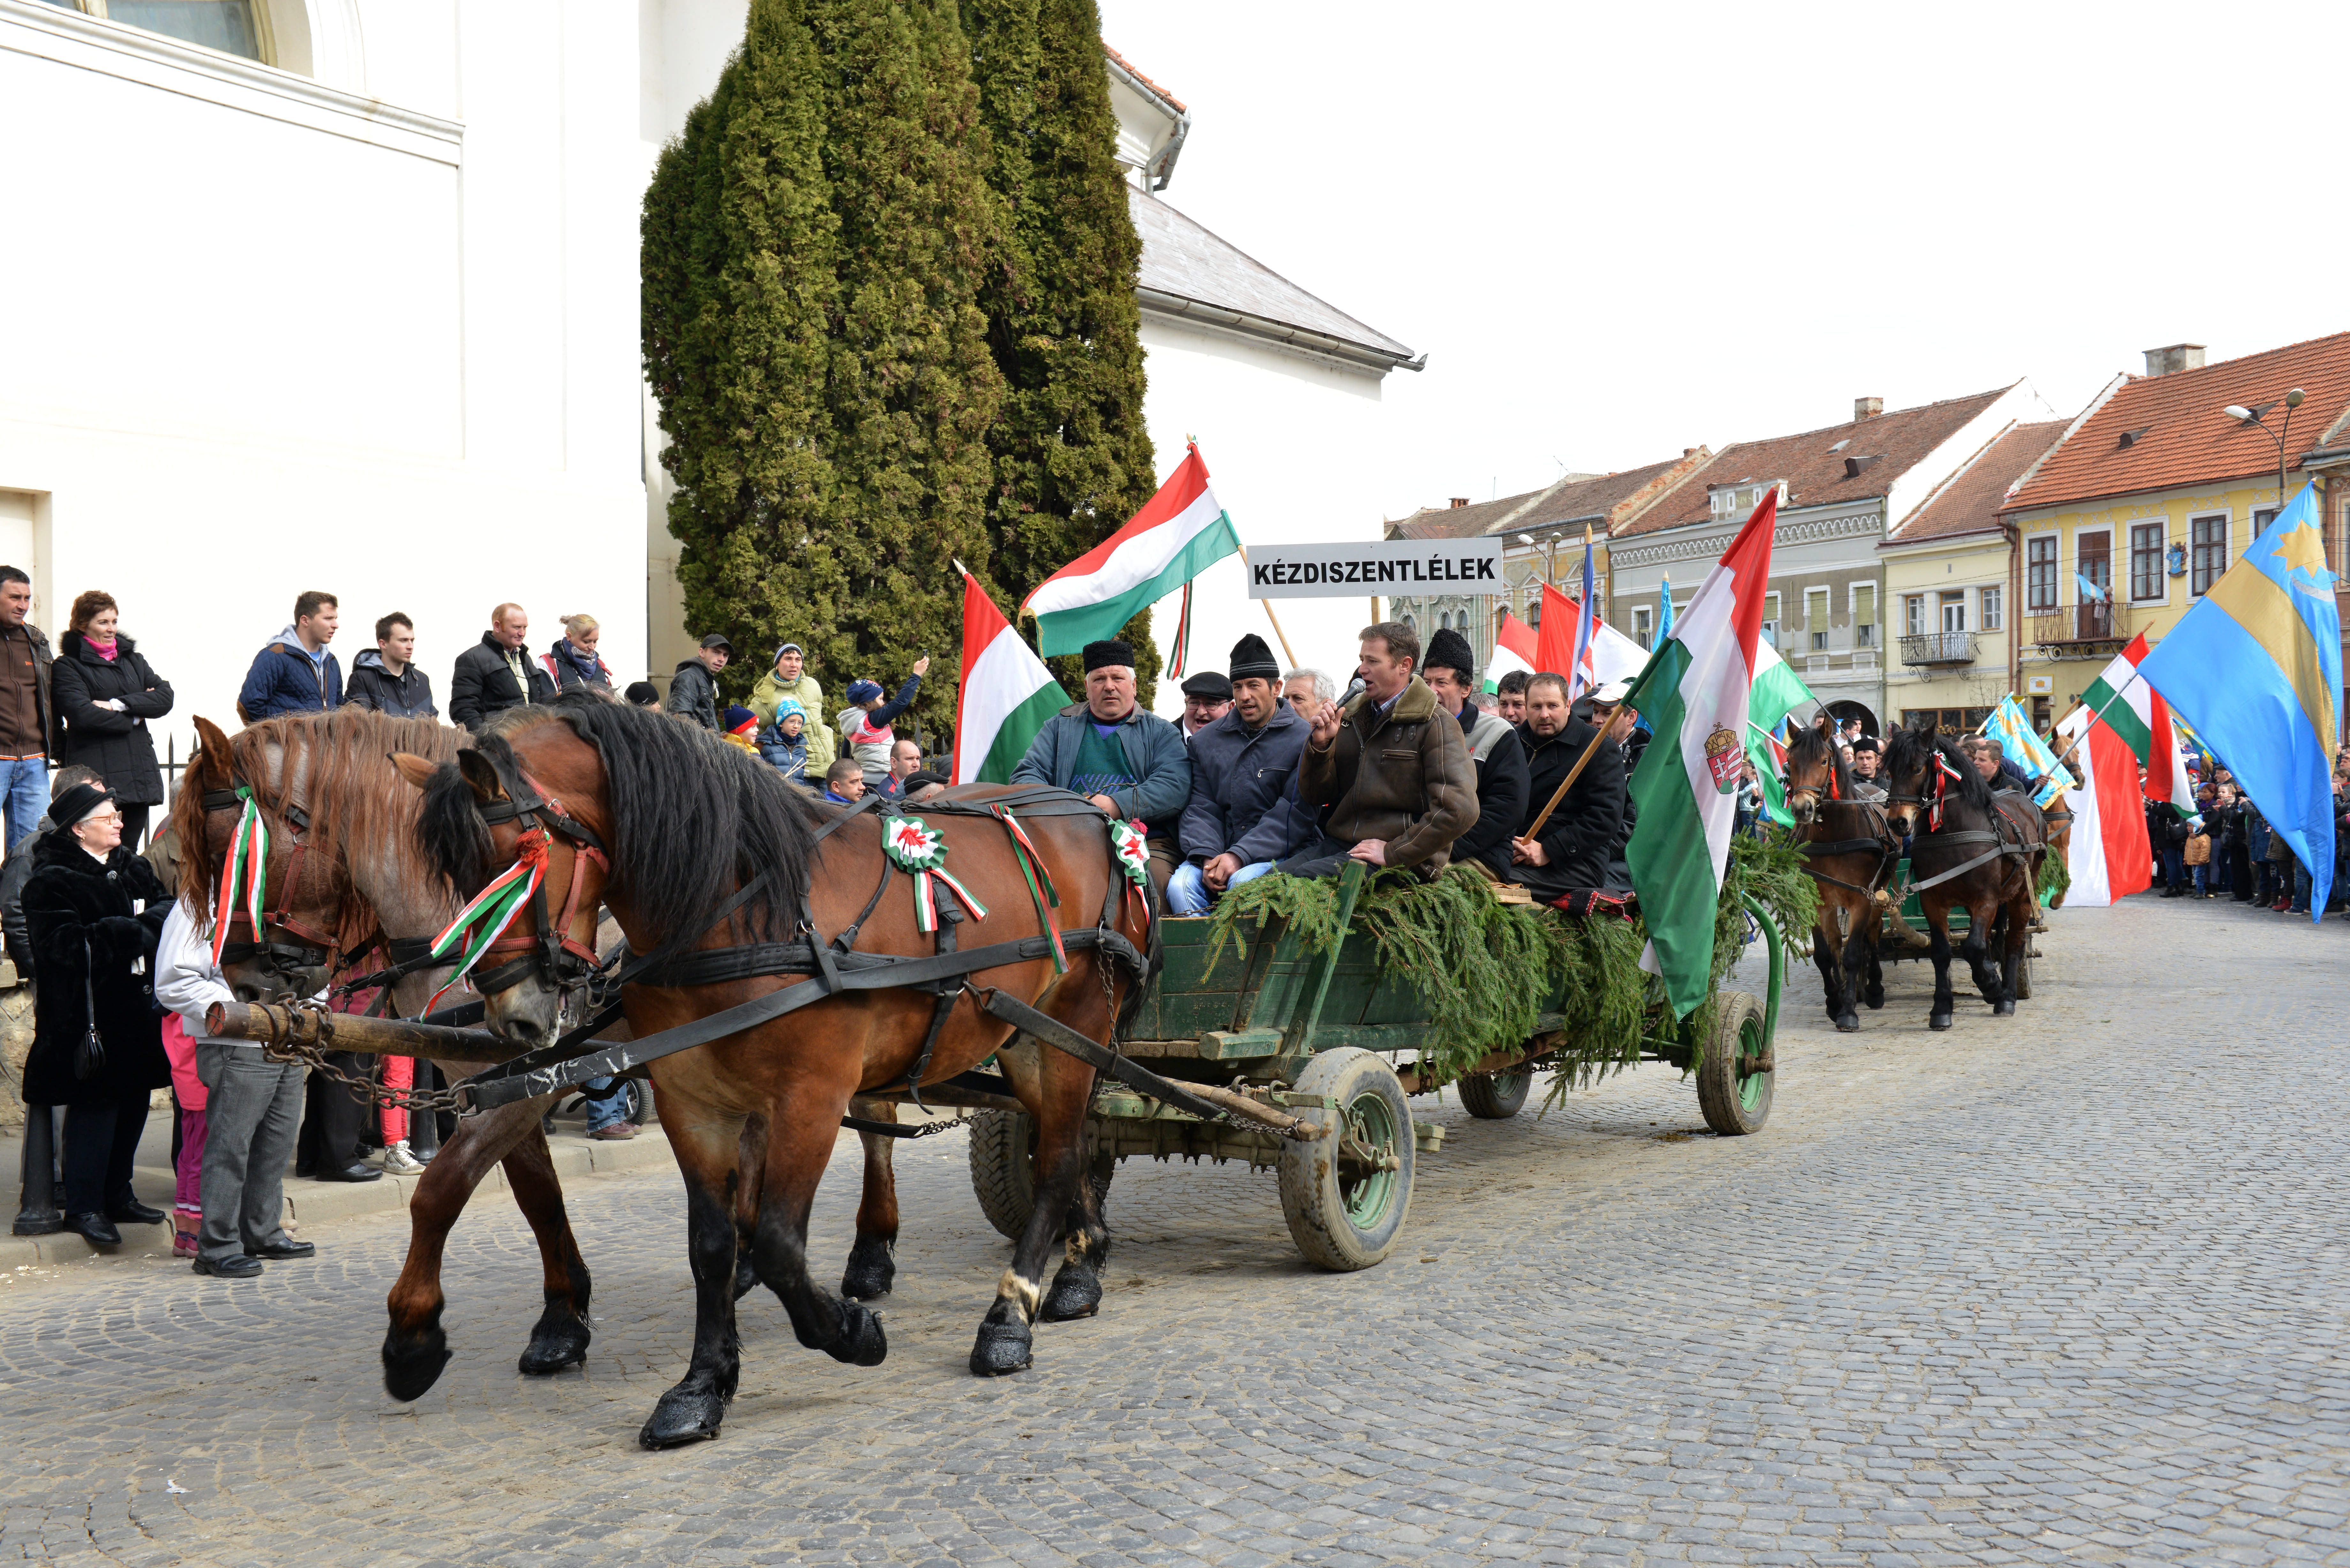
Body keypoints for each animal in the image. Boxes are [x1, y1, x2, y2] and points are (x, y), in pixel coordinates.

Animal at [395, 700, 1147, 1448]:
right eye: (457, 878)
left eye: (516, 863)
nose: (511, 1021)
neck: (743, 911)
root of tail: (1088, 812)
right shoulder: (691, 1102)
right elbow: (712, 1243)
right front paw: (702, 1385)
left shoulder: (811, 1098)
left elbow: (783, 1246)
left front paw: (852, 1331)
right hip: (1025, 1039)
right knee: (1069, 1142)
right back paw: (1082, 1267)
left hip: (1075, 1029)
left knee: (1058, 1157)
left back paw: (1011, 1314)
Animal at [1777, 719, 1889, 1034]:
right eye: (1790, 762)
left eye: (1824, 761)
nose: (1802, 809)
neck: (1836, 837)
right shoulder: (1816, 900)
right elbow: (1825, 954)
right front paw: (1834, 1002)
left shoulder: (1862, 899)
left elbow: (1853, 954)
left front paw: (1848, 1012)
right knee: (1838, 942)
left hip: (1881, 892)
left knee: (1873, 936)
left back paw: (1874, 989)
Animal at [1870, 733, 2040, 1034]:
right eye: (1889, 772)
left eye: (1917, 768)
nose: (1897, 822)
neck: (1953, 831)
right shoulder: (1933, 901)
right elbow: (1943, 952)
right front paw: (1941, 1010)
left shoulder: (1986, 899)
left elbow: (1973, 947)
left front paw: (1991, 986)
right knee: (1988, 939)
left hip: (2021, 895)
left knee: (2014, 941)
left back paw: (2006, 997)